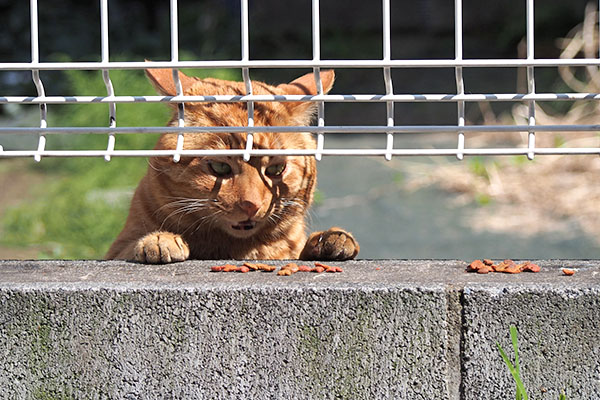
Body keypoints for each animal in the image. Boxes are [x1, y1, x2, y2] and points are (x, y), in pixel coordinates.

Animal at [103, 69, 358, 262]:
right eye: (220, 168)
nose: (251, 205)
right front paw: (159, 240)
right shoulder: (117, 249)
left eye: (276, 170)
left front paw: (331, 239)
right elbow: (131, 247)